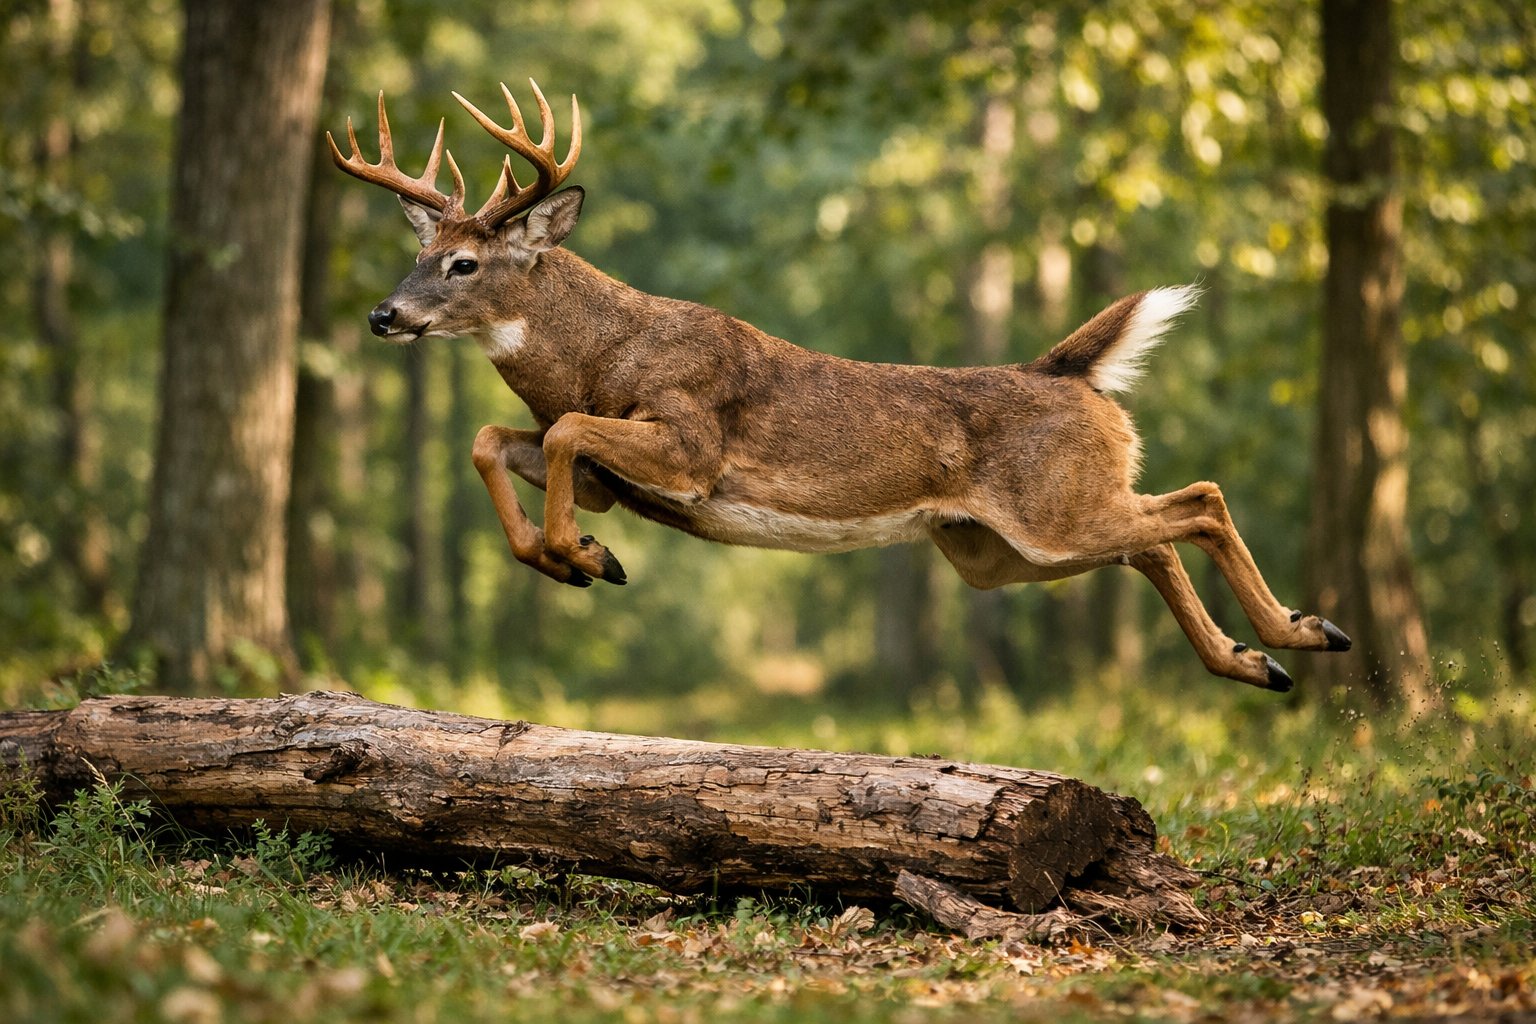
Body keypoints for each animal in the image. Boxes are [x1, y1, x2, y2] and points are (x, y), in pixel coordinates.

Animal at [327, 80, 1352, 692]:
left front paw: (577, 554)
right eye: (415, 252)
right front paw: (577, 554)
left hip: (1050, 513)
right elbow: (495, 441)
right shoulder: (615, 479)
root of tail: (1065, 374)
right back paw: (1258, 660)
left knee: (1199, 499)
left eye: (462, 263)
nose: (383, 314)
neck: (600, 354)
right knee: (1155, 540)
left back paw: (1305, 633)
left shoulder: (692, 446)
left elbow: (568, 429)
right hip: (996, 551)